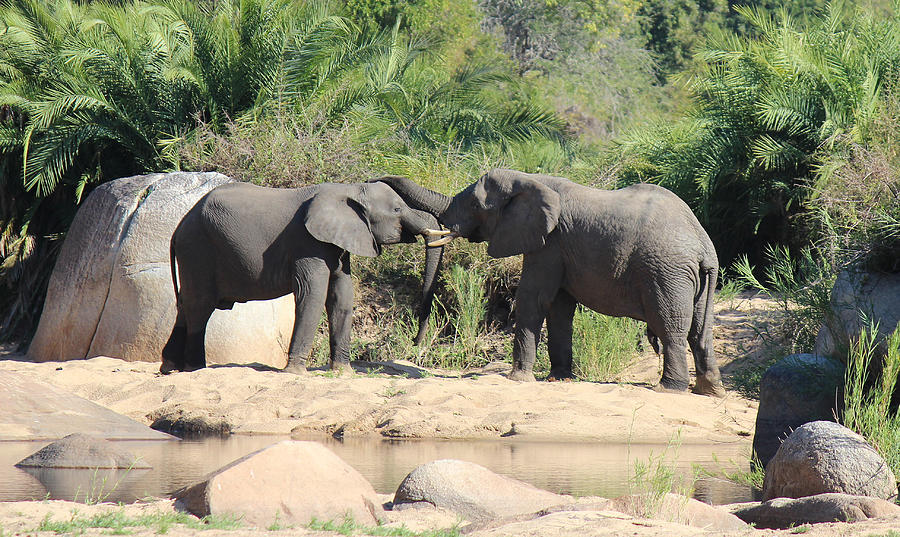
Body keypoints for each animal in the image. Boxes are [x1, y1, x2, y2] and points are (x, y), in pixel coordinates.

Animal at [160, 180, 448, 372]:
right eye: (398, 210)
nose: (416, 342)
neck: (349, 190)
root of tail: (178, 227)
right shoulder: (307, 242)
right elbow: (312, 295)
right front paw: (295, 373)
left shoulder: (337, 242)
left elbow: (342, 296)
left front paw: (343, 373)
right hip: (198, 249)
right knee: (200, 306)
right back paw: (195, 369)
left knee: (187, 304)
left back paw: (170, 367)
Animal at [378, 170, 724, 396]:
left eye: (476, 206)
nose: (375, 180)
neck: (531, 179)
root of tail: (703, 246)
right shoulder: (560, 248)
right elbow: (559, 307)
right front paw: (559, 379)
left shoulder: (550, 243)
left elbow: (534, 298)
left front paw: (518, 379)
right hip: (695, 278)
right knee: (700, 331)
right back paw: (710, 391)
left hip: (667, 272)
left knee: (672, 327)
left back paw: (670, 390)